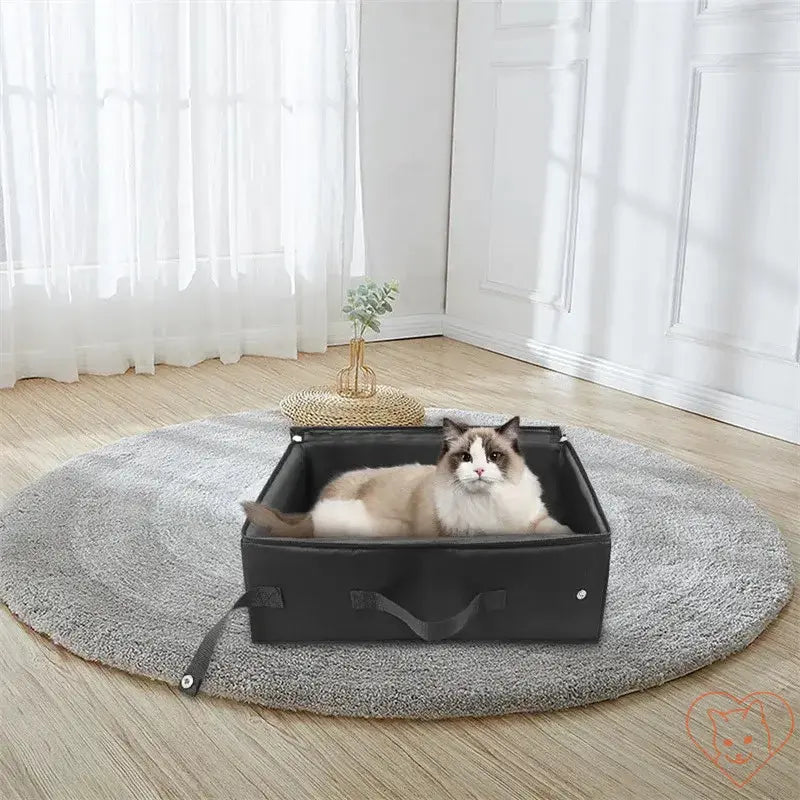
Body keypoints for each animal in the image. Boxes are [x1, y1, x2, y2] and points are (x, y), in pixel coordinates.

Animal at [241, 416, 572, 540]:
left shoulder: (533, 520)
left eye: (493, 456)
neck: (490, 503)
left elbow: (557, 528)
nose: (479, 471)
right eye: (466, 458)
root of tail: (312, 512)